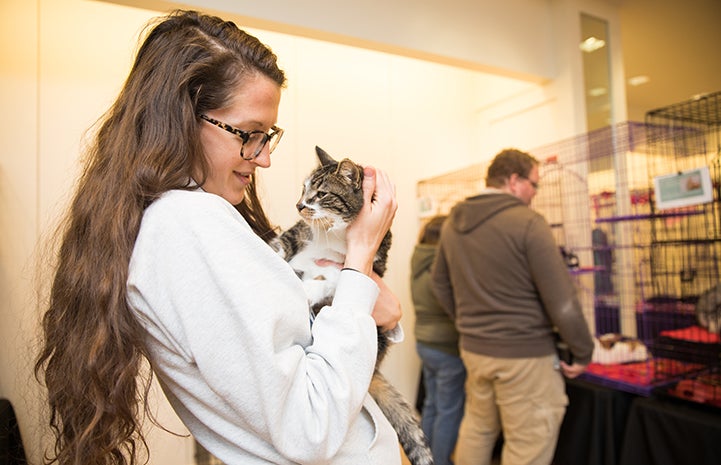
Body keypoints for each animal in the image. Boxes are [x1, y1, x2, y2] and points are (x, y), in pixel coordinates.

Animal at [272, 147, 434, 464]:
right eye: (303, 189)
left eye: (321, 193)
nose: (299, 205)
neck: (333, 233)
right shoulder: (298, 232)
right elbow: (281, 243)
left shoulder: (375, 264)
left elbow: (336, 277)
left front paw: (309, 289)